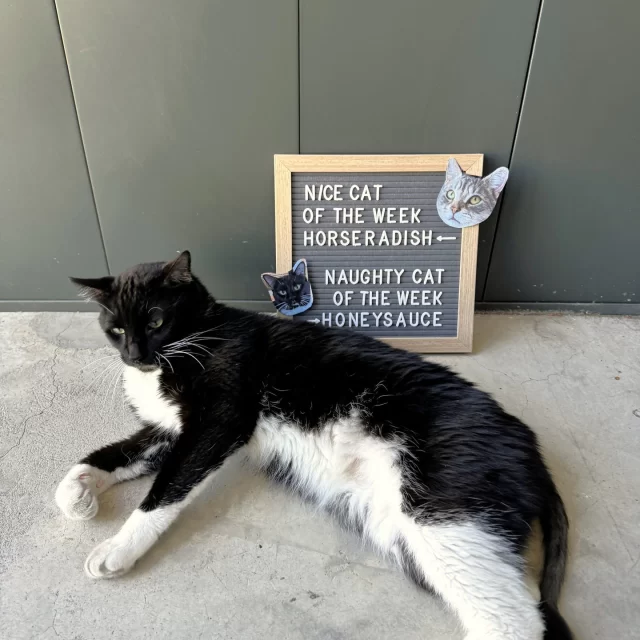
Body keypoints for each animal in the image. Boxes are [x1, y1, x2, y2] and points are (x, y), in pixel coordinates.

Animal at [57, 252, 572, 636]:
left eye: (156, 320)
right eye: (115, 329)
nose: (134, 355)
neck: (193, 340)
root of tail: (533, 452)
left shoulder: (219, 422)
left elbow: (167, 487)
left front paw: (116, 548)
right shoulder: (167, 431)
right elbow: (112, 455)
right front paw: (76, 493)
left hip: (441, 510)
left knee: (514, 617)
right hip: (409, 536)